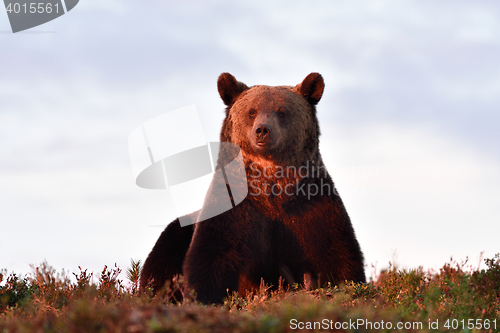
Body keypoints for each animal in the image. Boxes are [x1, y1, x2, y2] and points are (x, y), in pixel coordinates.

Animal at [139, 72, 366, 304]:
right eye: (252, 111)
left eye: (282, 111)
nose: (263, 130)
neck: (272, 190)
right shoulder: (234, 204)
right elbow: (211, 255)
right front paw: (204, 297)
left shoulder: (312, 204)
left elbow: (337, 253)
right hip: (176, 233)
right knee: (161, 264)